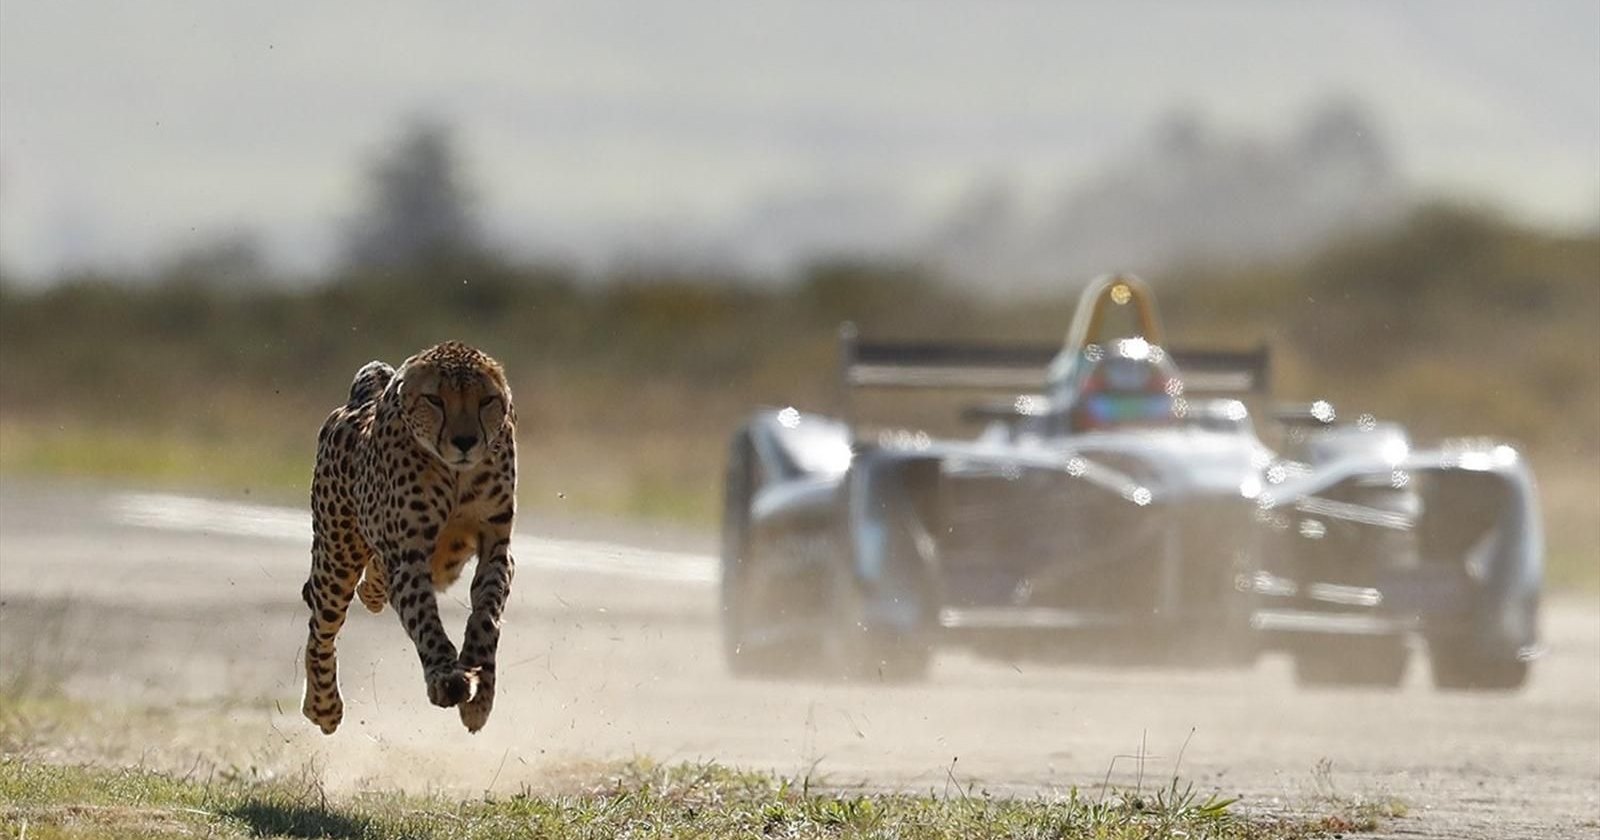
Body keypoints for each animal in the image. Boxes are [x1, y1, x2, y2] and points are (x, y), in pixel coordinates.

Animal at [300, 340, 518, 732]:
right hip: (337, 558)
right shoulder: (408, 555)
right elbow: (423, 617)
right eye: (435, 400)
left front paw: (480, 690)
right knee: (321, 625)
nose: (465, 441)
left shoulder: (496, 547)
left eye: (486, 401)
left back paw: (371, 593)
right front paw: (446, 675)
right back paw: (322, 705)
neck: (455, 474)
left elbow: (486, 614)